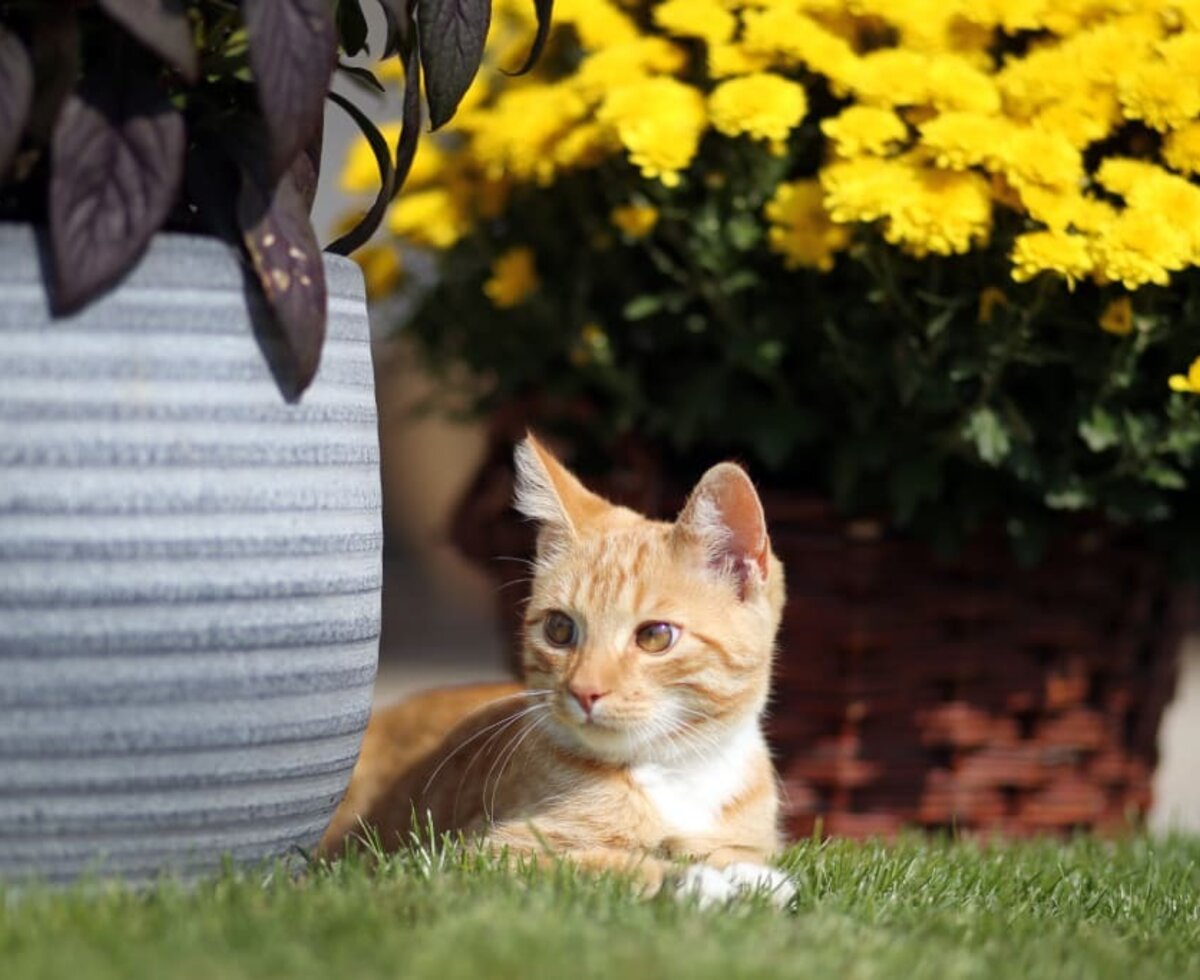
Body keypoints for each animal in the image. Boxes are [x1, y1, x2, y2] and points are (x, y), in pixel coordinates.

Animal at [319, 434, 792, 902]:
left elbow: (731, 852)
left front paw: (745, 876)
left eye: (655, 636)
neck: (674, 771)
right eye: (560, 629)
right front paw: (697, 880)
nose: (585, 691)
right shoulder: (480, 854)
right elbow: (600, 863)